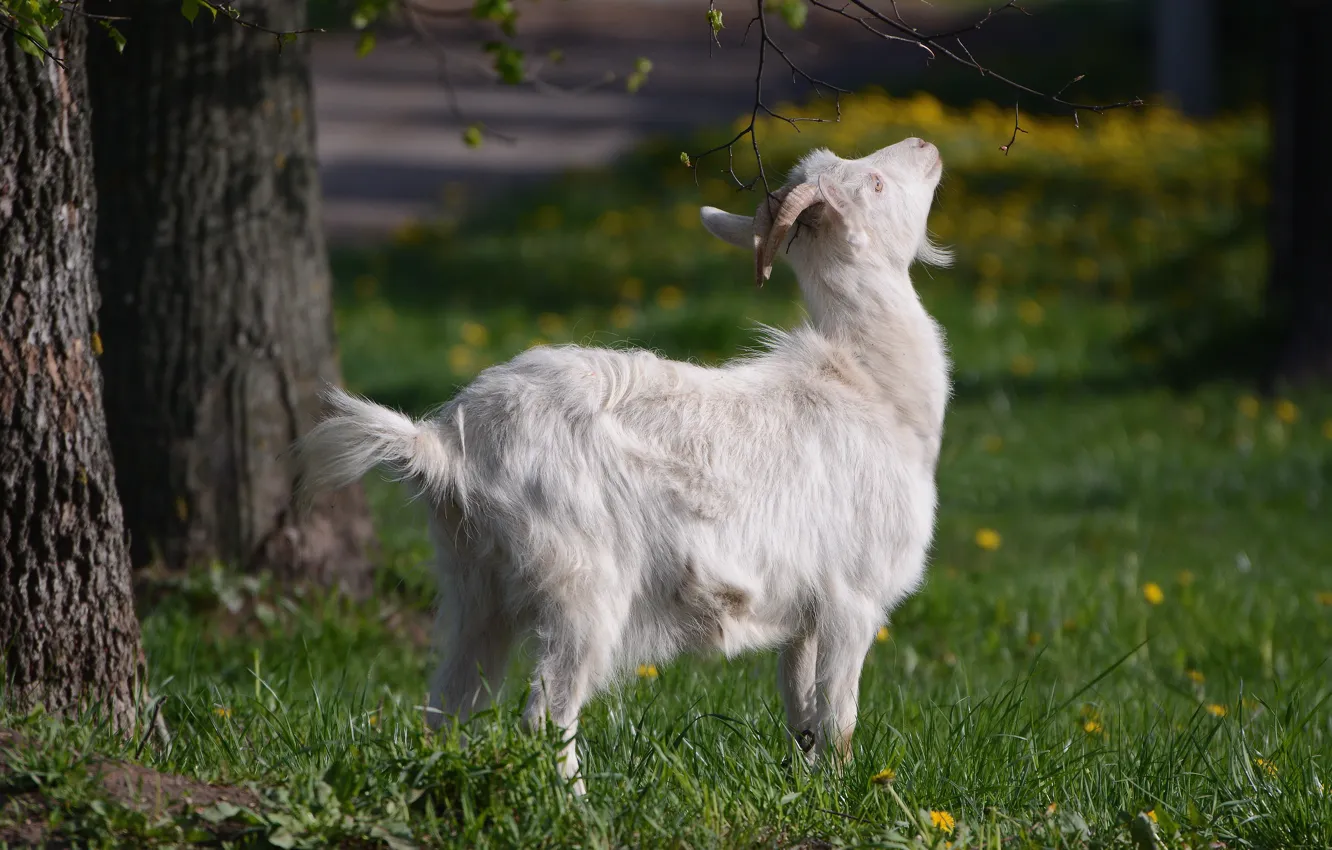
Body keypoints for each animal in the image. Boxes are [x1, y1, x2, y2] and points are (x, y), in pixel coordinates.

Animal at [297, 138, 953, 799]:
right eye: (874, 183)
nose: (925, 146)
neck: (867, 385)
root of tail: (444, 445)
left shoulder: (805, 613)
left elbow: (803, 714)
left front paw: (806, 788)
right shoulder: (853, 599)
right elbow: (839, 716)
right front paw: (844, 796)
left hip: (474, 587)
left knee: (448, 704)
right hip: (581, 588)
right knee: (546, 713)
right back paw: (578, 806)